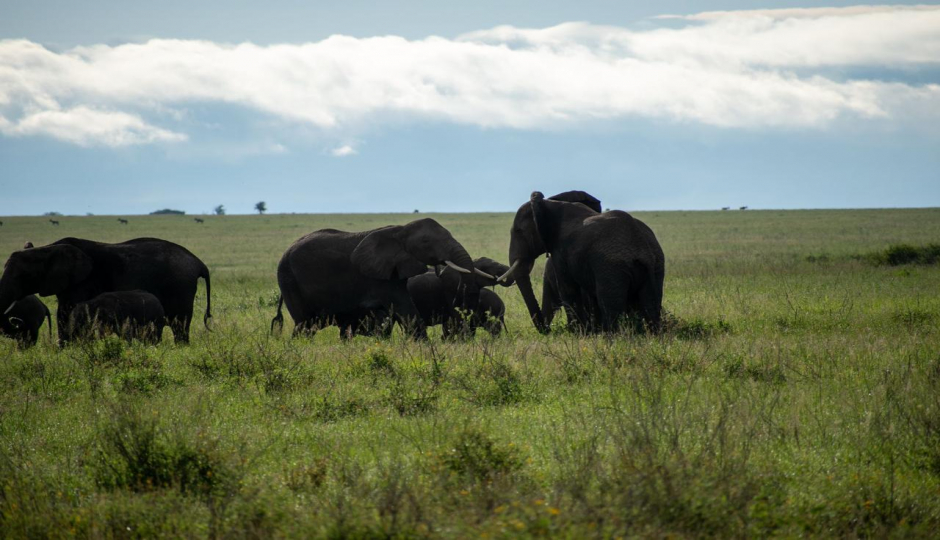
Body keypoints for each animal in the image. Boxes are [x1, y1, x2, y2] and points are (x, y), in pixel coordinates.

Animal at [0, 237, 212, 346]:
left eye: (22, 276)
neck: (47, 248)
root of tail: (198, 262)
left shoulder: (82, 282)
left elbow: (67, 311)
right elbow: (63, 313)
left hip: (180, 288)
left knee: (179, 326)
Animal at [270, 218, 478, 338]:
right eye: (426, 242)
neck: (400, 230)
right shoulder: (381, 278)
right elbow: (406, 309)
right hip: (289, 281)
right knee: (304, 325)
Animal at [496, 190, 664, 334]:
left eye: (518, 231)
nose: (548, 330)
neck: (549, 203)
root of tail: (642, 252)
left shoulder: (560, 251)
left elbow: (567, 289)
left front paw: (578, 333)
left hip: (611, 268)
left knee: (610, 305)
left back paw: (614, 338)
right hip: (656, 267)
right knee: (651, 305)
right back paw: (651, 337)